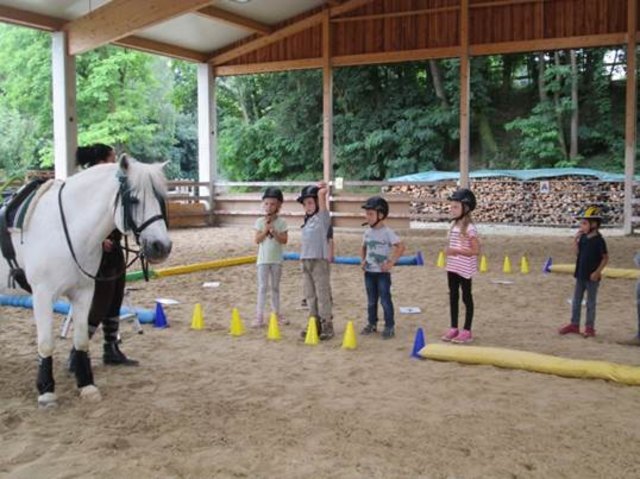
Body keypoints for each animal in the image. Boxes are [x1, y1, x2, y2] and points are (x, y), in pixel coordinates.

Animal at [0, 156, 171, 406]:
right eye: (133, 199)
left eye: (161, 199)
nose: (162, 246)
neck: (65, 229)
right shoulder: (42, 295)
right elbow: (46, 343)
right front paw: (46, 390)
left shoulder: (83, 292)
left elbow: (81, 339)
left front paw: (86, 386)